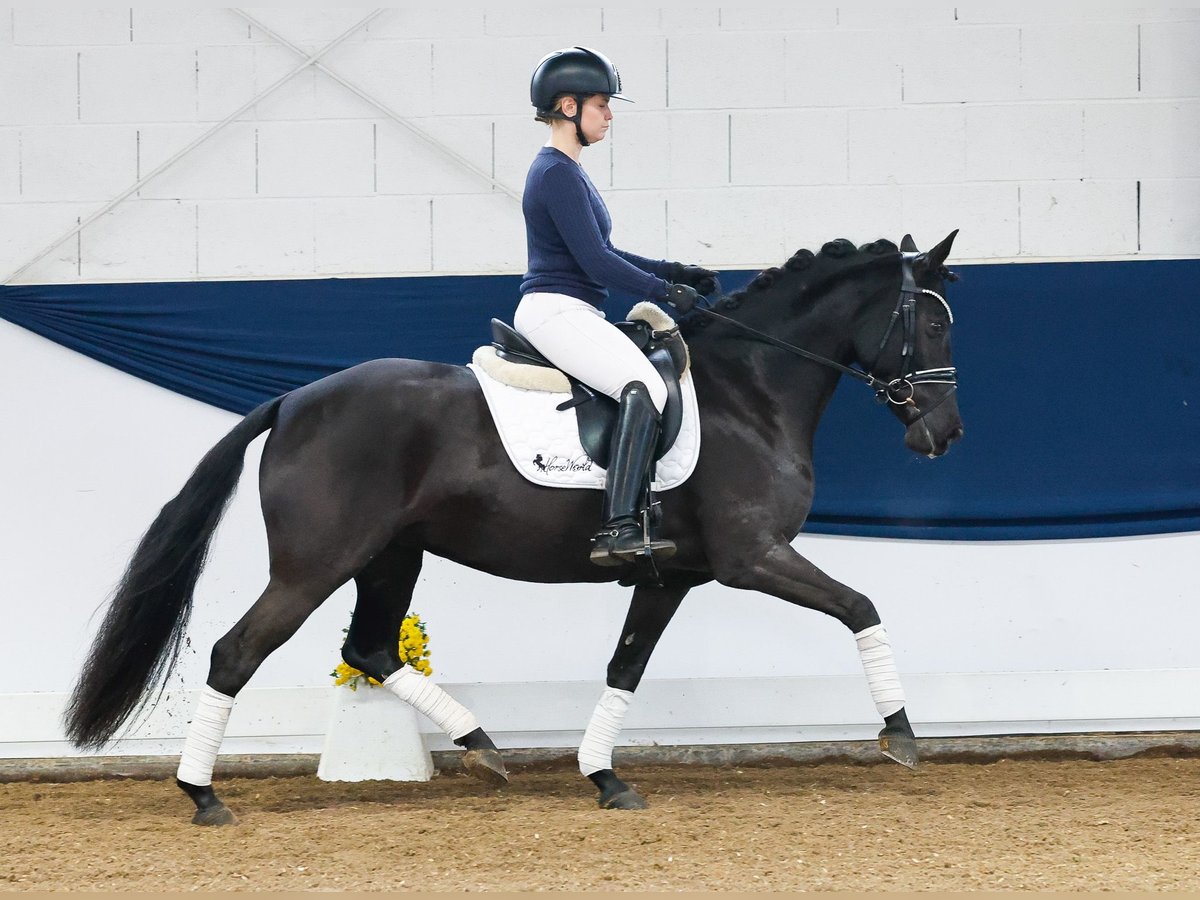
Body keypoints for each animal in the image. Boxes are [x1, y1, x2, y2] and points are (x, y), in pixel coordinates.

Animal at [63, 230, 964, 825]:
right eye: (935, 324)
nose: (945, 434)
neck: (749, 390)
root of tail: (292, 401)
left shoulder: (673, 574)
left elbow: (626, 666)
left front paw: (604, 777)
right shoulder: (755, 556)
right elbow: (861, 607)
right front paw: (901, 733)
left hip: (391, 556)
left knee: (372, 648)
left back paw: (483, 746)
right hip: (315, 563)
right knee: (237, 652)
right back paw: (203, 794)